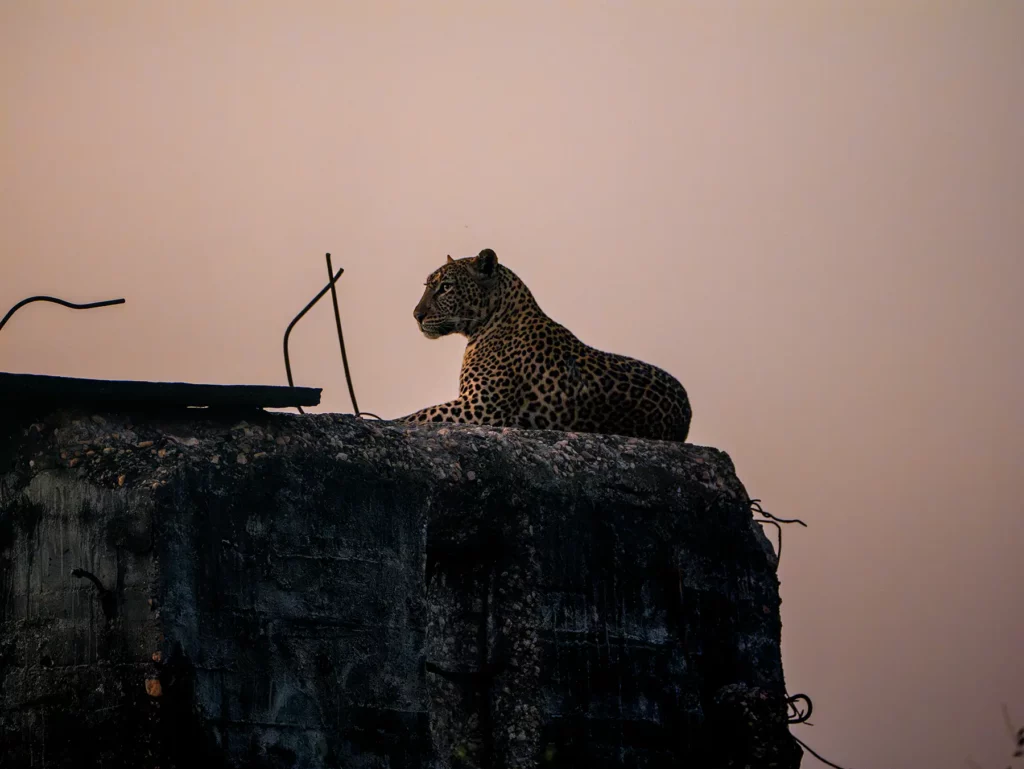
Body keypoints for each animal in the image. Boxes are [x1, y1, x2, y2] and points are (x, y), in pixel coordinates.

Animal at [396, 248, 692, 442]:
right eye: (428, 285)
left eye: (445, 287)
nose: (416, 315)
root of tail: (687, 412)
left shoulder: (481, 407)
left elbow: (417, 416)